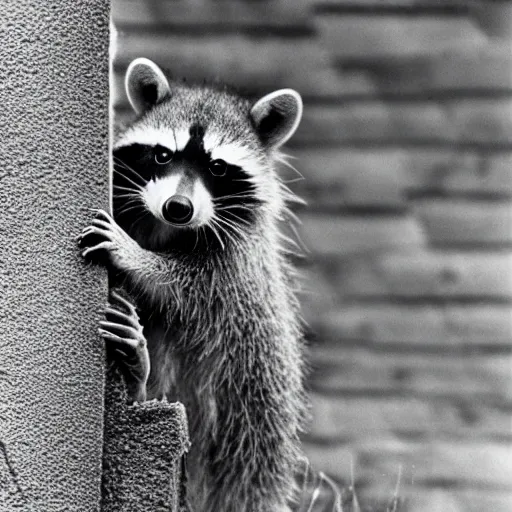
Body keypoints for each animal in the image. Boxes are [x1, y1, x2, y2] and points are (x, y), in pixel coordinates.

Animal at [79, 59, 304, 512]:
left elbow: (186, 286)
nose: (177, 208)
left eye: (217, 167)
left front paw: (136, 256)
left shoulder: (235, 264)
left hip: (255, 419)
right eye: (163, 154)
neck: (166, 228)